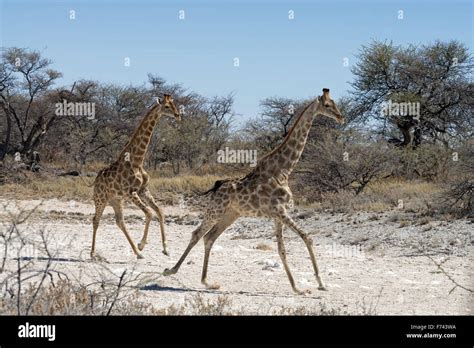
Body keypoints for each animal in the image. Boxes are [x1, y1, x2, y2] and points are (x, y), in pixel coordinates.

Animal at [91, 94, 181, 260]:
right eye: (166, 107)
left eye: (174, 105)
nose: (178, 115)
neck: (137, 160)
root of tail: (95, 181)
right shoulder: (131, 192)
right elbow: (150, 213)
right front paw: (142, 244)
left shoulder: (143, 190)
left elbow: (159, 211)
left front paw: (165, 248)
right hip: (100, 199)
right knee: (96, 220)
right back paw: (93, 253)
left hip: (116, 200)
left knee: (120, 222)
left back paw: (137, 253)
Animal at [163, 89, 344, 294]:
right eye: (327, 105)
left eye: (334, 103)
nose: (341, 117)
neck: (284, 170)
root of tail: (217, 186)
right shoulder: (280, 211)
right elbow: (307, 238)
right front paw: (320, 283)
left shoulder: (277, 215)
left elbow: (282, 249)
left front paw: (297, 288)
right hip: (215, 210)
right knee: (197, 234)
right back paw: (170, 270)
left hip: (231, 214)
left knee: (209, 237)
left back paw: (207, 282)